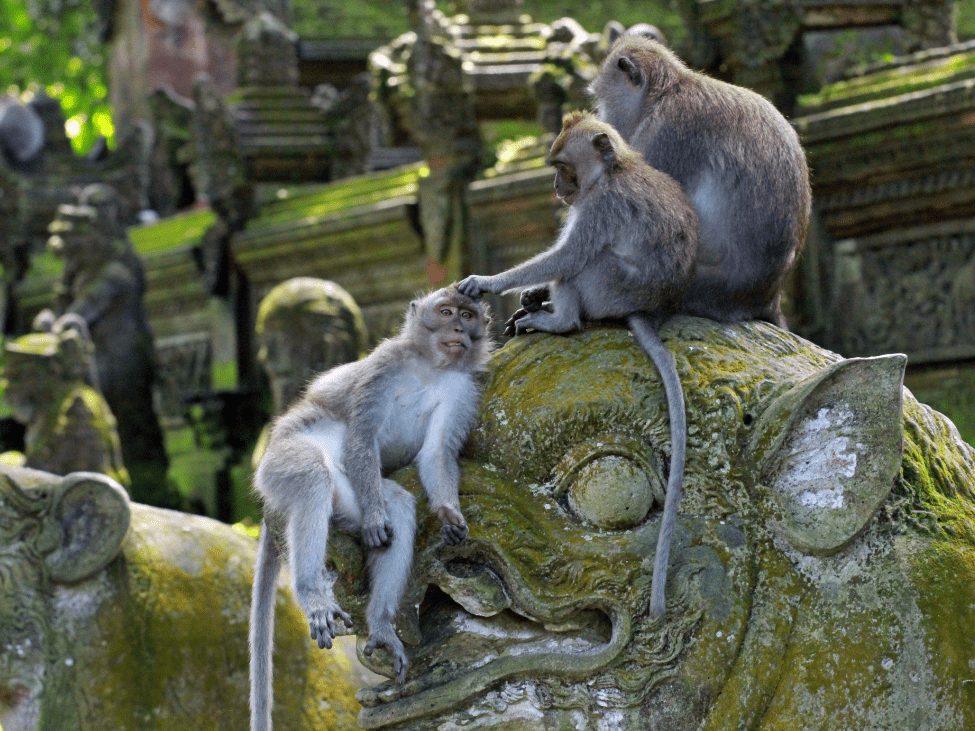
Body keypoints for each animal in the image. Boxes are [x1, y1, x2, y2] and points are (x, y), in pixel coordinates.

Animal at [252, 288, 496, 731]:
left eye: (468, 315)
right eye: (446, 311)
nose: (458, 328)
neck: (430, 367)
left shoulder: (463, 388)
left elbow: (436, 453)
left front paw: (449, 514)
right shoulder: (385, 365)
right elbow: (363, 435)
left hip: (349, 492)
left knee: (396, 505)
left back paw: (381, 625)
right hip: (282, 461)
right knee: (314, 477)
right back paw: (312, 593)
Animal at [460, 111, 696, 620]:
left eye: (564, 166)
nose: (556, 187)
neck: (612, 172)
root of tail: (648, 309)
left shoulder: (600, 207)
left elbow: (567, 255)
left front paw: (489, 282)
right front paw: (529, 293)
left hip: (607, 287)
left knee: (582, 263)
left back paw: (560, 320)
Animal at [592, 35, 812, 328]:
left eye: (602, 99)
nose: (603, 120)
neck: (665, 93)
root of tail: (767, 297)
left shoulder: (666, 132)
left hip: (701, 287)